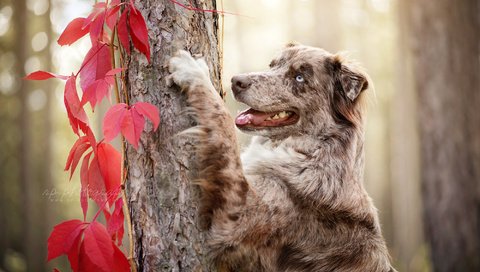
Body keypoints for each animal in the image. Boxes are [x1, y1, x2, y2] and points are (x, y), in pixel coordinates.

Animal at [167, 43, 396, 270]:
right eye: (273, 65)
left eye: (299, 77)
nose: (236, 81)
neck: (311, 153)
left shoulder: (236, 215)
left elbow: (224, 123)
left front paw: (194, 72)